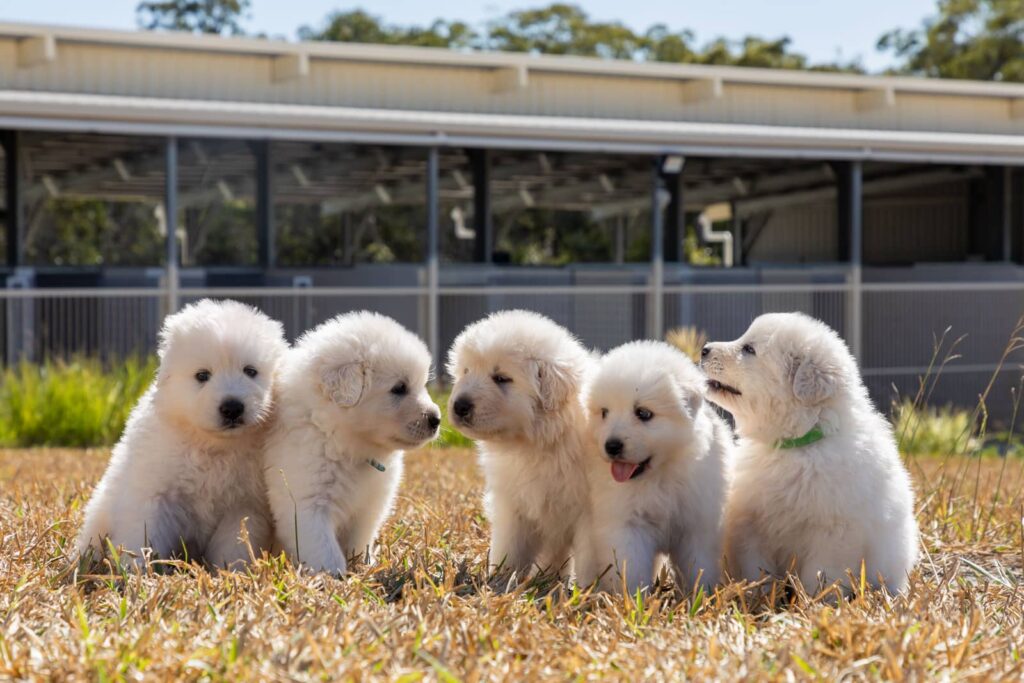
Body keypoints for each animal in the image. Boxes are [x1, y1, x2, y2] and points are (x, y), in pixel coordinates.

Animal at [75, 299, 288, 573]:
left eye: (250, 371)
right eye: (202, 376)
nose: (232, 408)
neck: (214, 446)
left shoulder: (243, 506)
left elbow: (234, 545)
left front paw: (229, 573)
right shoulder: (154, 496)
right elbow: (143, 537)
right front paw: (137, 571)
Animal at [264, 313, 440, 577]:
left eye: (423, 385)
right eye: (399, 388)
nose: (437, 420)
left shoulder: (368, 508)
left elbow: (360, 541)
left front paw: (365, 566)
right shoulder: (306, 505)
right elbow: (325, 550)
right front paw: (335, 577)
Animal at [446, 313, 593, 581]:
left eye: (501, 378)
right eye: (466, 371)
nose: (459, 406)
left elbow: (593, 559)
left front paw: (595, 587)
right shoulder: (514, 504)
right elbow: (511, 548)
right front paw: (500, 581)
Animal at [577, 342, 729, 593]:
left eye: (643, 413)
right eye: (604, 412)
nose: (612, 446)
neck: (660, 476)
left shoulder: (696, 525)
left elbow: (698, 567)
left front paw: (701, 594)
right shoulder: (627, 524)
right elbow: (631, 568)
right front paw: (631, 597)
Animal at [704, 313, 921, 593]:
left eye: (749, 349)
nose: (704, 349)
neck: (796, 446)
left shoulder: (833, 531)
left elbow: (821, 573)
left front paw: (816, 599)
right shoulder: (750, 524)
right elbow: (755, 567)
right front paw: (756, 593)